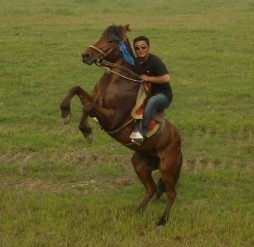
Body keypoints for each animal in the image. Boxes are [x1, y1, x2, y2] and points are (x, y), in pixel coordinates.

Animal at [59, 24, 183, 226]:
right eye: (101, 35)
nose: (86, 55)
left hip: (167, 168)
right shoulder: (95, 101)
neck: (116, 81)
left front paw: (87, 131)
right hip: (140, 164)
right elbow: (76, 90)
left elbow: (88, 107)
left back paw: (162, 220)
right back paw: (138, 210)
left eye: (110, 40)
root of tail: (179, 142)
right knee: (151, 188)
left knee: (171, 193)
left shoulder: (113, 118)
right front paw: (65, 112)